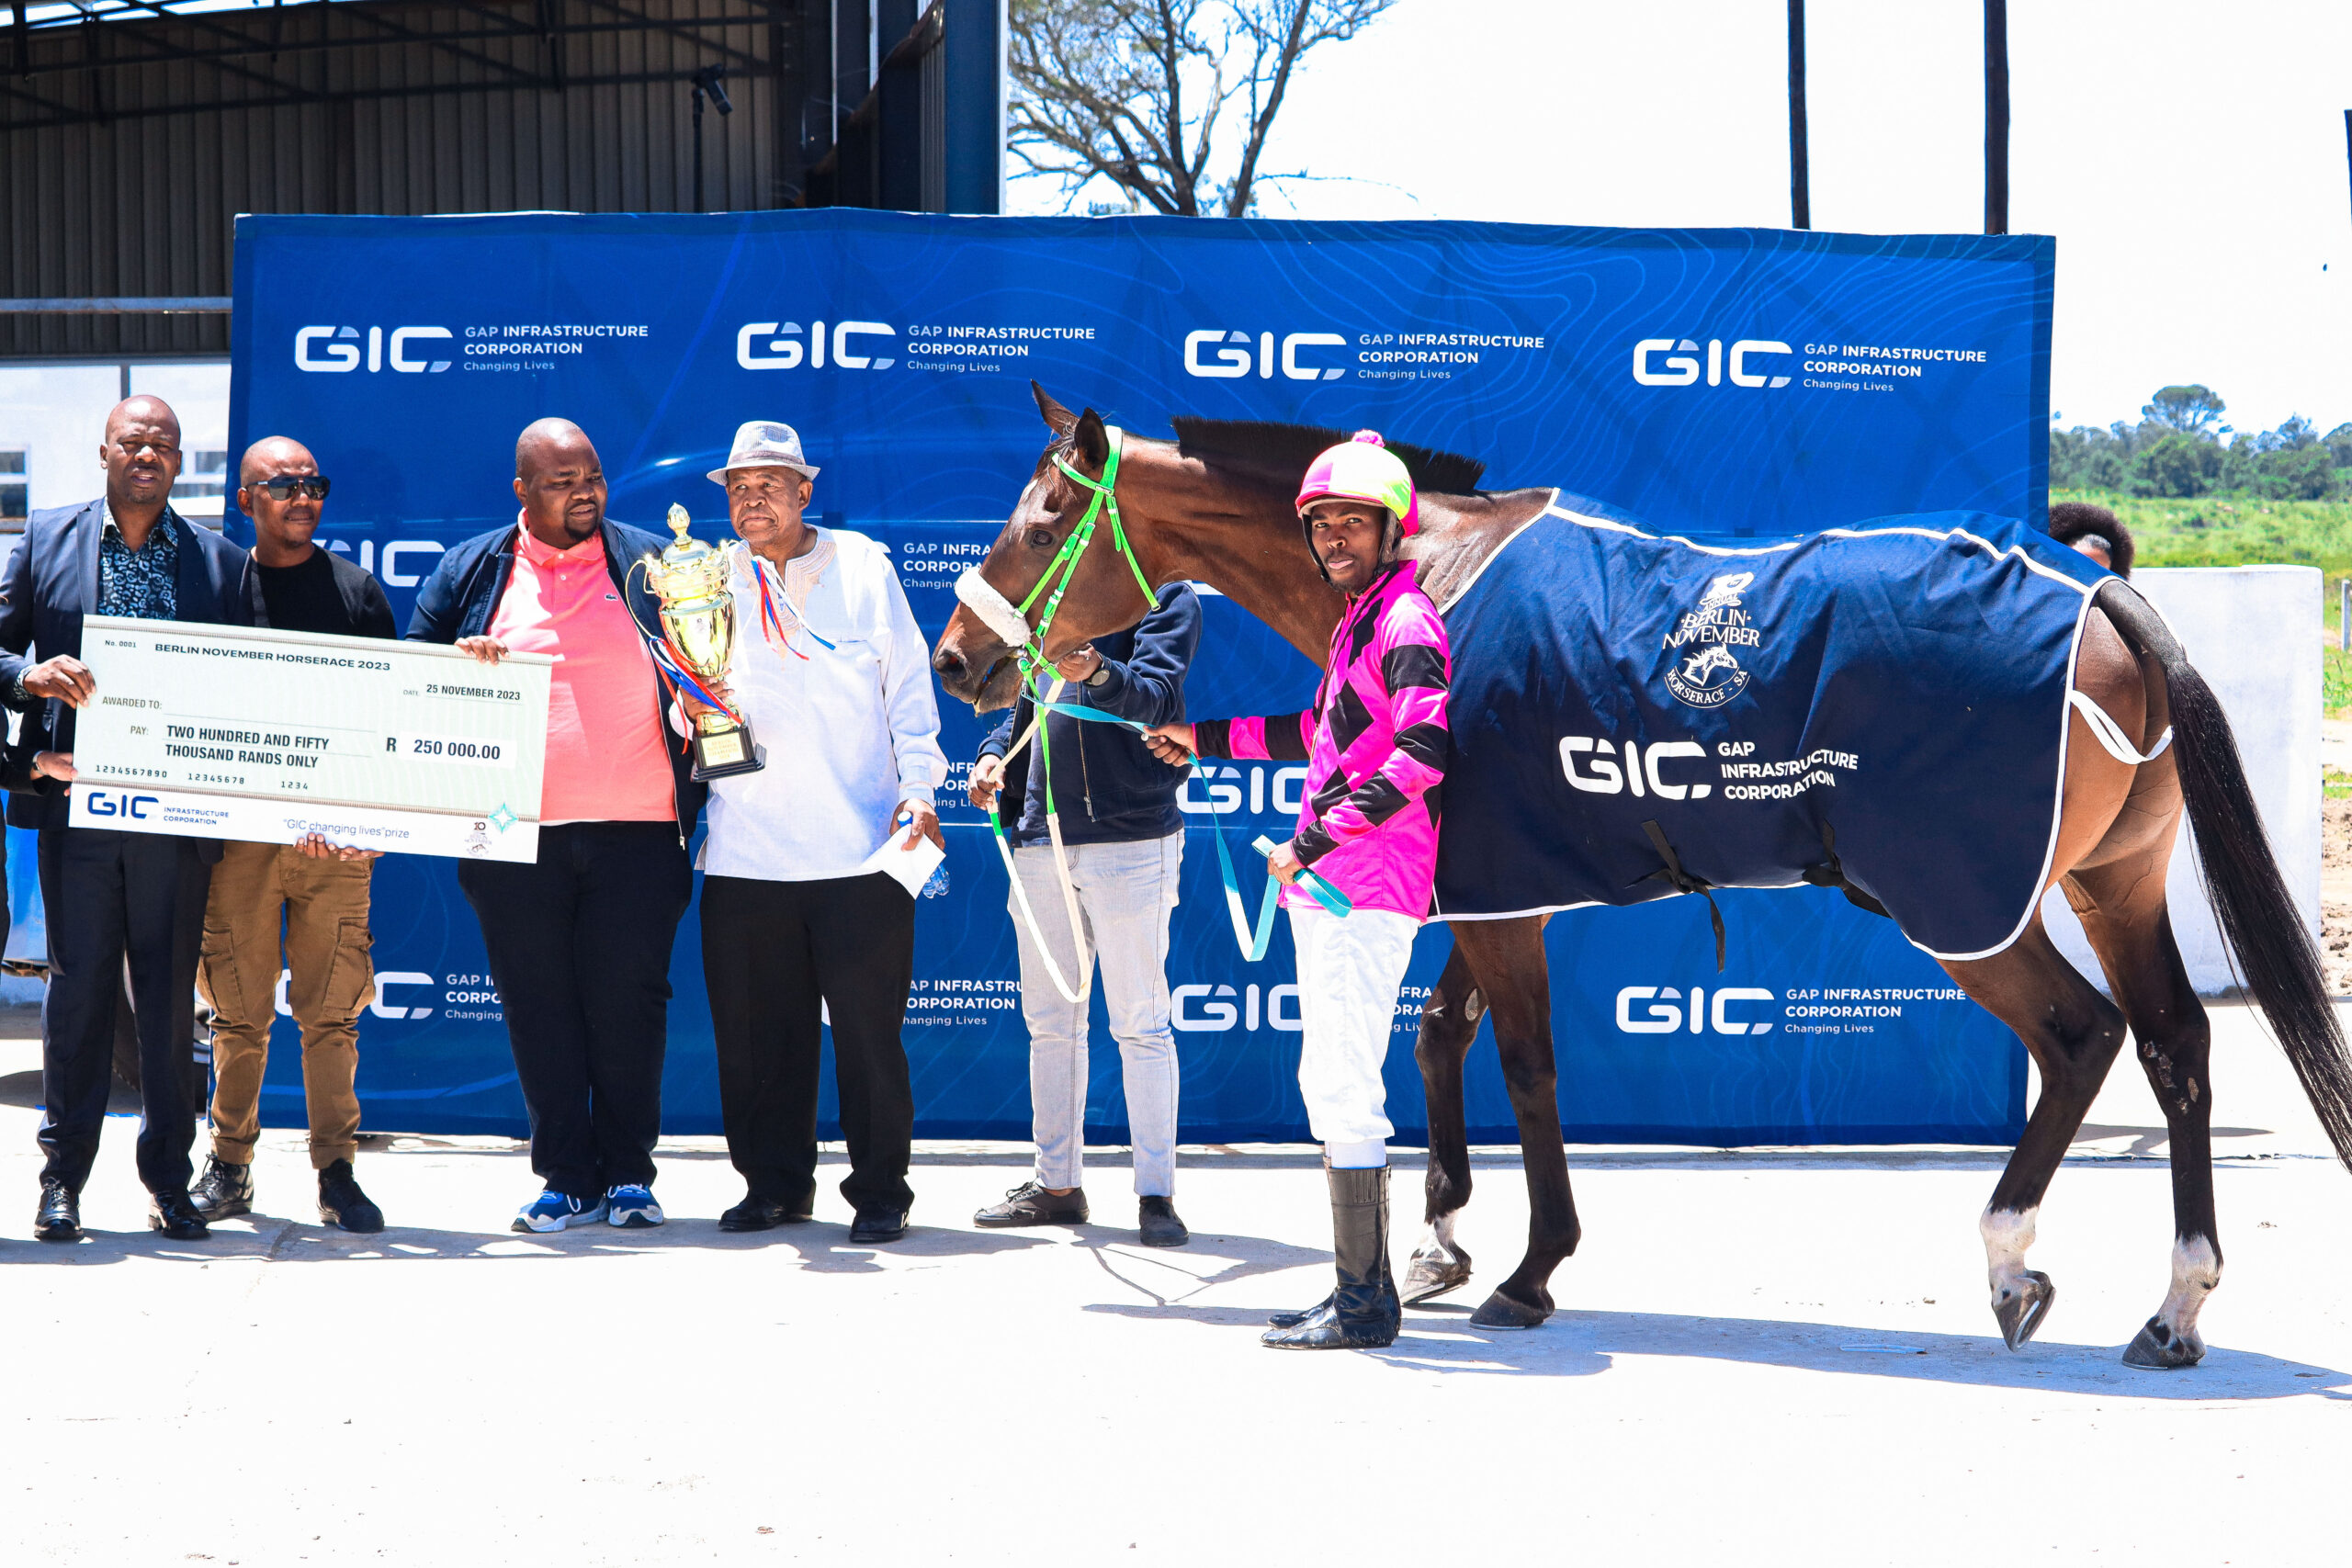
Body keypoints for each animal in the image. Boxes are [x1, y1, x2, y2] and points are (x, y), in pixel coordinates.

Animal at [931, 385, 2352, 1363]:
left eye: (1045, 520)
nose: (958, 658)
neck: (1433, 570)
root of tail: (2106, 597)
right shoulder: (1495, 883)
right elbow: (1442, 1037)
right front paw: (1442, 1238)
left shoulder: (1499, 895)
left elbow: (1522, 1064)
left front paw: (1527, 1268)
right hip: (2115, 884)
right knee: (2174, 1043)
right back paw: (2174, 1305)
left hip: (1967, 907)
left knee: (2079, 1035)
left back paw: (2012, 1263)